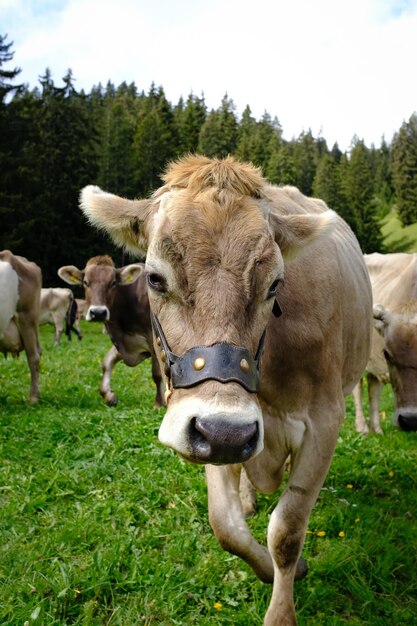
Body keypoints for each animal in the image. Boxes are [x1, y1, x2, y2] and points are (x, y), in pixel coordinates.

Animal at [57, 255, 164, 408]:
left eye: (113, 283)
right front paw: (108, 395)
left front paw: (159, 404)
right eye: (85, 282)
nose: (98, 312)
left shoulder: (153, 338)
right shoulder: (124, 342)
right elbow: (107, 362)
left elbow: (157, 373)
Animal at [78, 156, 370, 624]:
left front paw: (281, 609)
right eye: (154, 279)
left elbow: (287, 530)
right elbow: (226, 526)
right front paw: (271, 567)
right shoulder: (206, 425)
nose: (230, 434)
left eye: (275, 284)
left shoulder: (323, 420)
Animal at [352, 251, 416, 432]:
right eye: (388, 354)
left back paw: (377, 429)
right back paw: (362, 428)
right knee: (357, 390)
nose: (410, 420)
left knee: (373, 387)